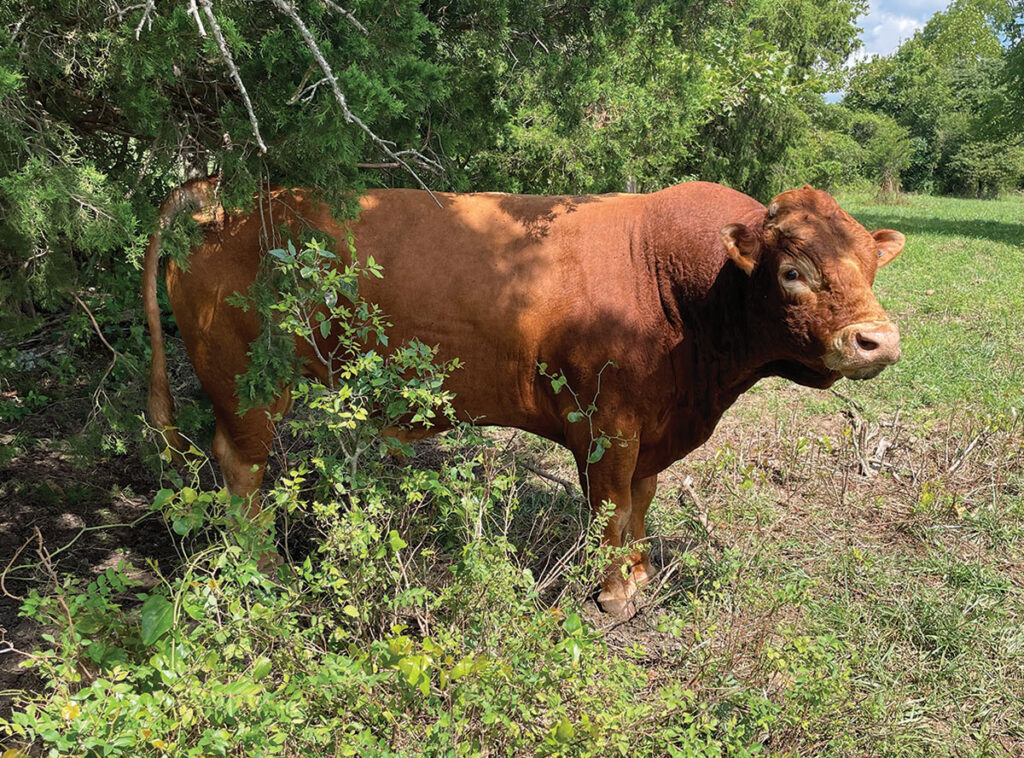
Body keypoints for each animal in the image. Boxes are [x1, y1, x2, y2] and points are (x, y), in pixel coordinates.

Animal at [146, 179, 905, 614]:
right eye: (792, 271)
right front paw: (614, 591)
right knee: (241, 466)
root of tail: (225, 206)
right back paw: (264, 567)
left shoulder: (653, 429)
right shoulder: (607, 424)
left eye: (872, 262)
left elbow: (640, 502)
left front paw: (640, 571)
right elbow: (610, 505)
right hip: (249, 385)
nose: (879, 341)